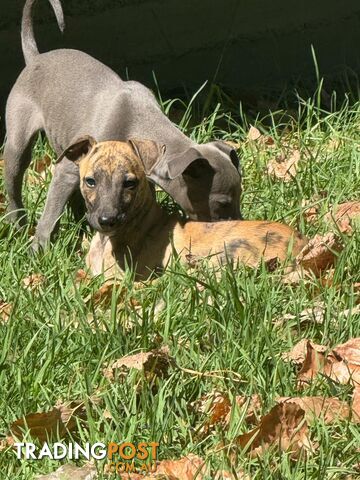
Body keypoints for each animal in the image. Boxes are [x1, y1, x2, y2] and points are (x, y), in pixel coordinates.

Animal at [3, 0, 242, 249]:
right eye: (222, 202)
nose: (239, 225)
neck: (139, 121)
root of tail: (35, 58)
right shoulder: (66, 170)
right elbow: (50, 215)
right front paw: (40, 248)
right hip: (18, 143)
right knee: (15, 183)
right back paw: (17, 225)